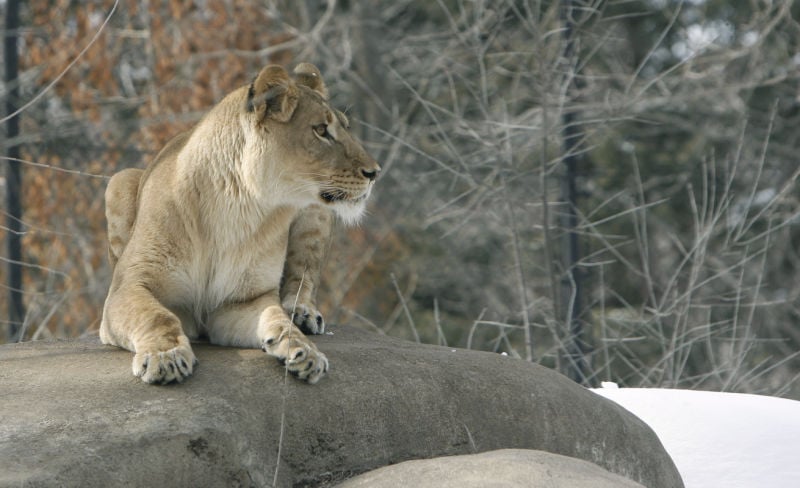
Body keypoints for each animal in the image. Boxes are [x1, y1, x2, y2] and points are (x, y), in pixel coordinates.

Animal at [100, 63, 379, 385]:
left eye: (345, 127)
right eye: (321, 130)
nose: (375, 173)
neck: (238, 205)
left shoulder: (243, 300)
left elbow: (274, 316)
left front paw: (303, 349)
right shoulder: (126, 288)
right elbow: (157, 316)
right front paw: (166, 356)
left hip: (315, 211)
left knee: (302, 280)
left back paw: (302, 314)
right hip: (119, 180)